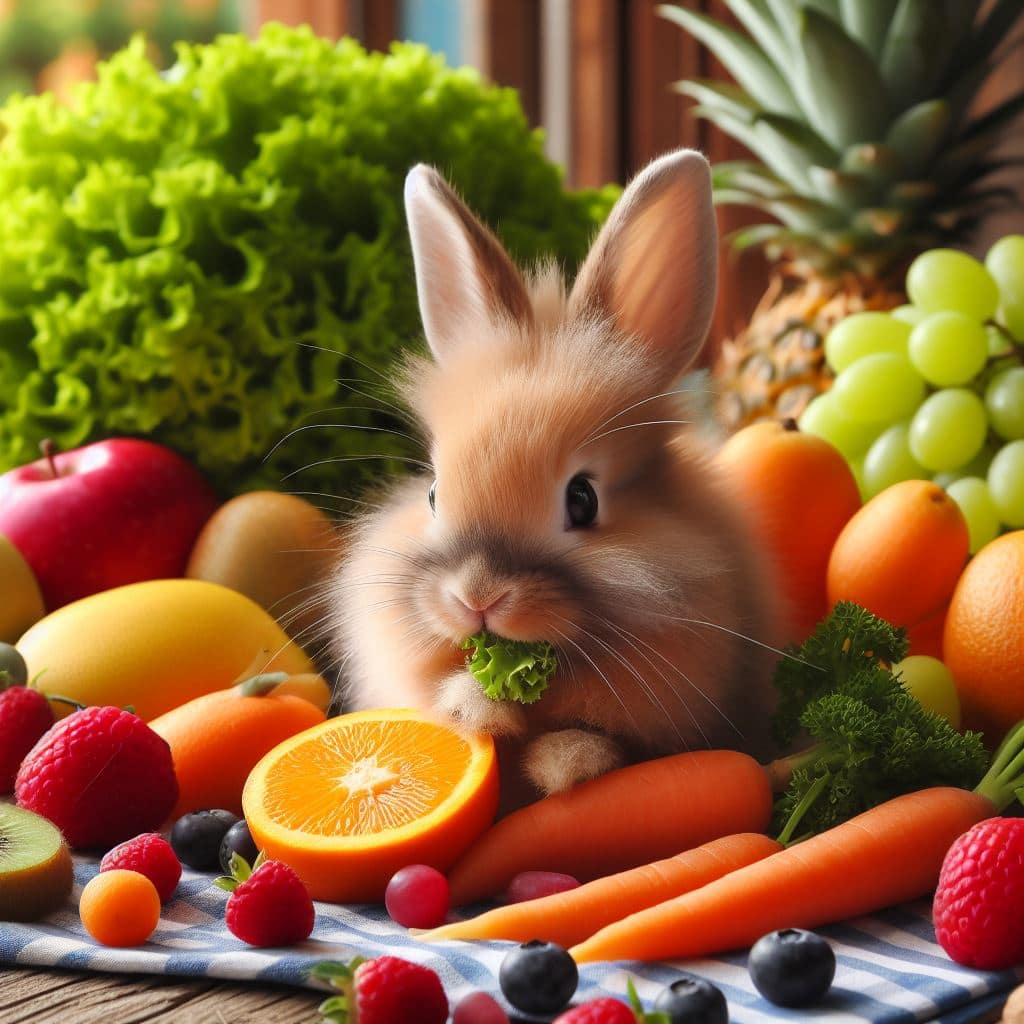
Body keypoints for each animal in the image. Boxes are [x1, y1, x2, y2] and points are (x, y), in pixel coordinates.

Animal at [329, 148, 783, 804]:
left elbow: (596, 741)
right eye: (434, 493)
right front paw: (477, 708)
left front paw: (567, 763)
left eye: (583, 499)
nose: (477, 597)